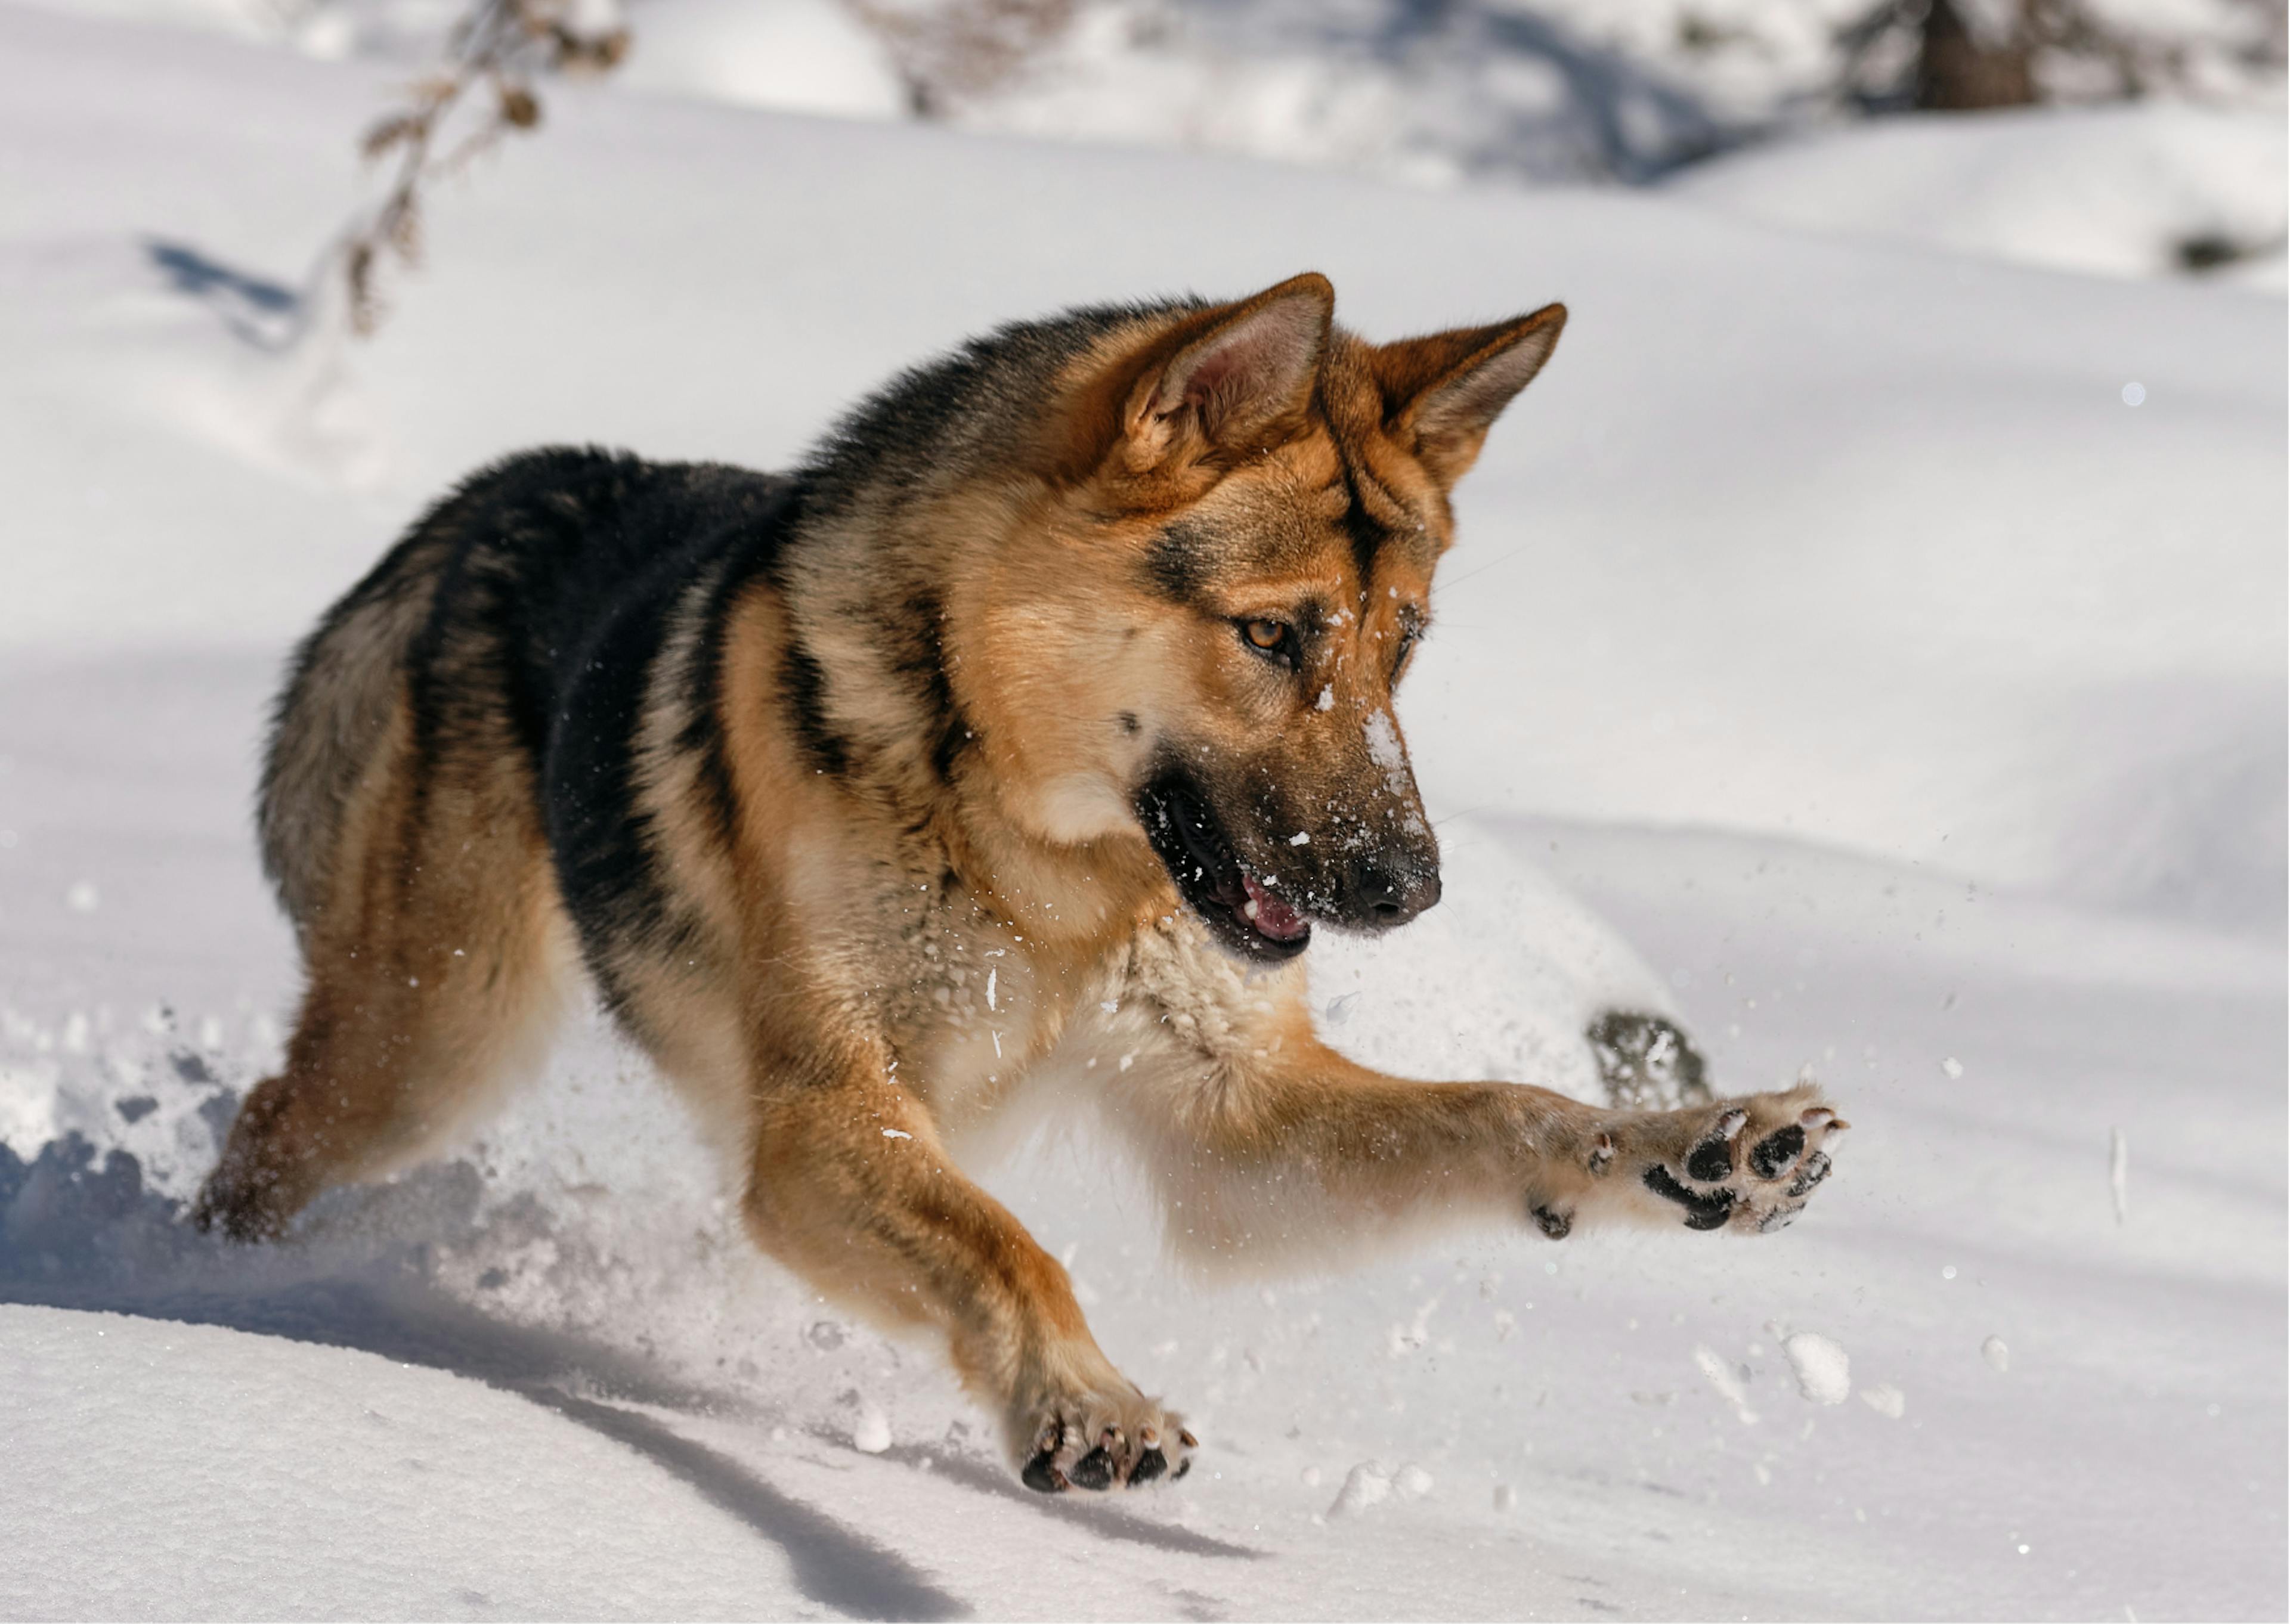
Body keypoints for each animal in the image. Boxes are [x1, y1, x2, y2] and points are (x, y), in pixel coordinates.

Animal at [197, 275, 1841, 1484]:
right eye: (1272, 635)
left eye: (1405, 643)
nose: (1409, 890)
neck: (1037, 862)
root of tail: (500, 492)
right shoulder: (820, 1122)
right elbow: (1009, 1245)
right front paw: (1084, 1402)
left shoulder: (1234, 1124)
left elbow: (1513, 1112)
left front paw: (1705, 1144)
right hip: (434, 1051)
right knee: (265, 1131)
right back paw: (211, 1296)